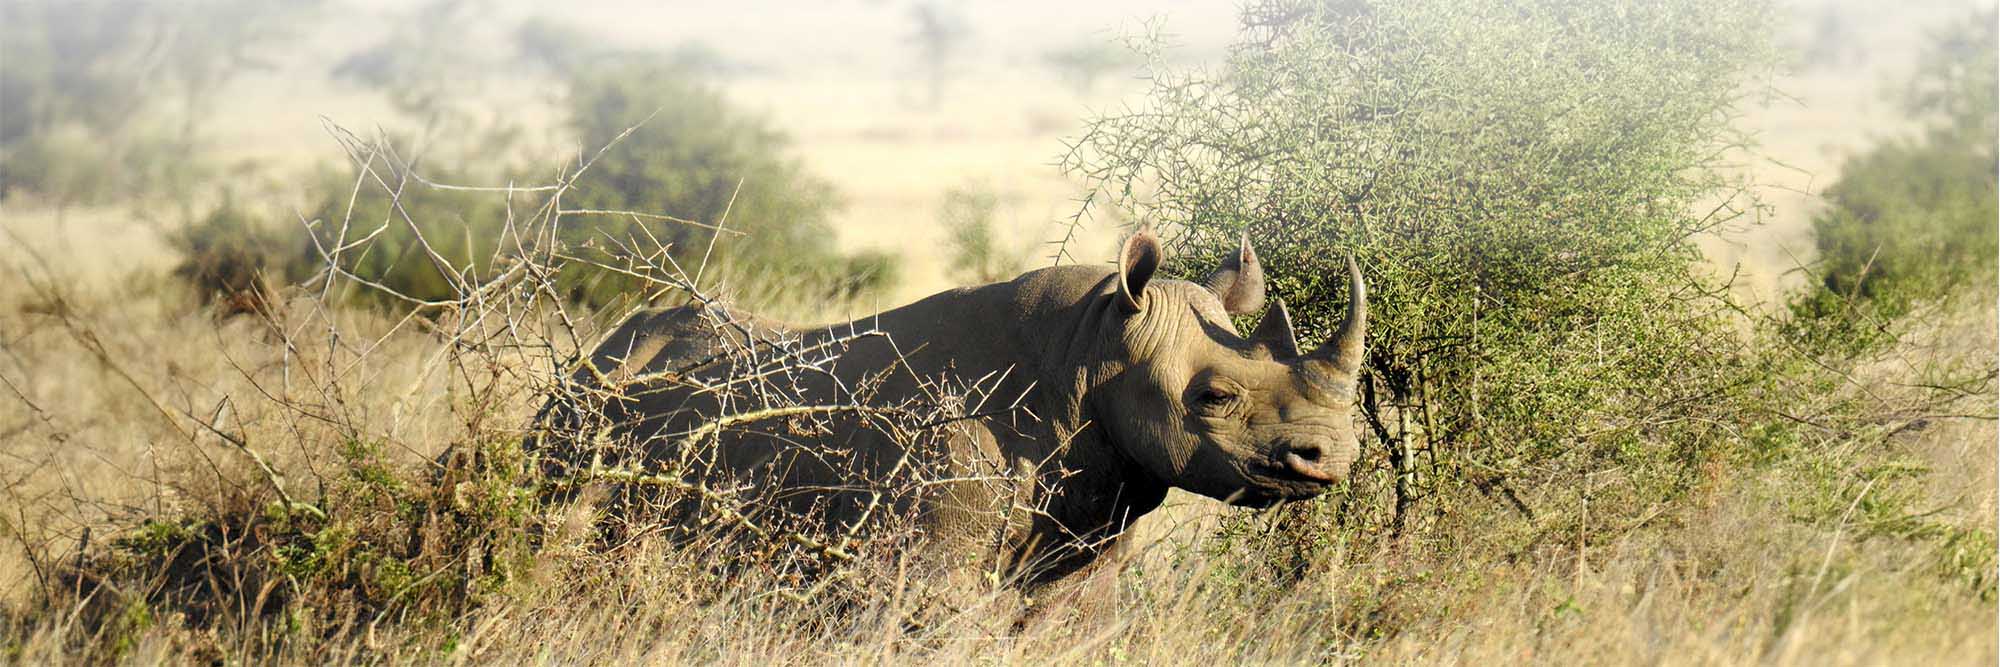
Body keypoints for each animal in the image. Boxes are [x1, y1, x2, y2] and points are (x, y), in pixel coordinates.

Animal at [529, 231, 1367, 589]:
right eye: (1213, 398)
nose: (1331, 456)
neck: (1089, 349)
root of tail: (589, 360)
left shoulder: (1095, 520)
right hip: (576, 422)